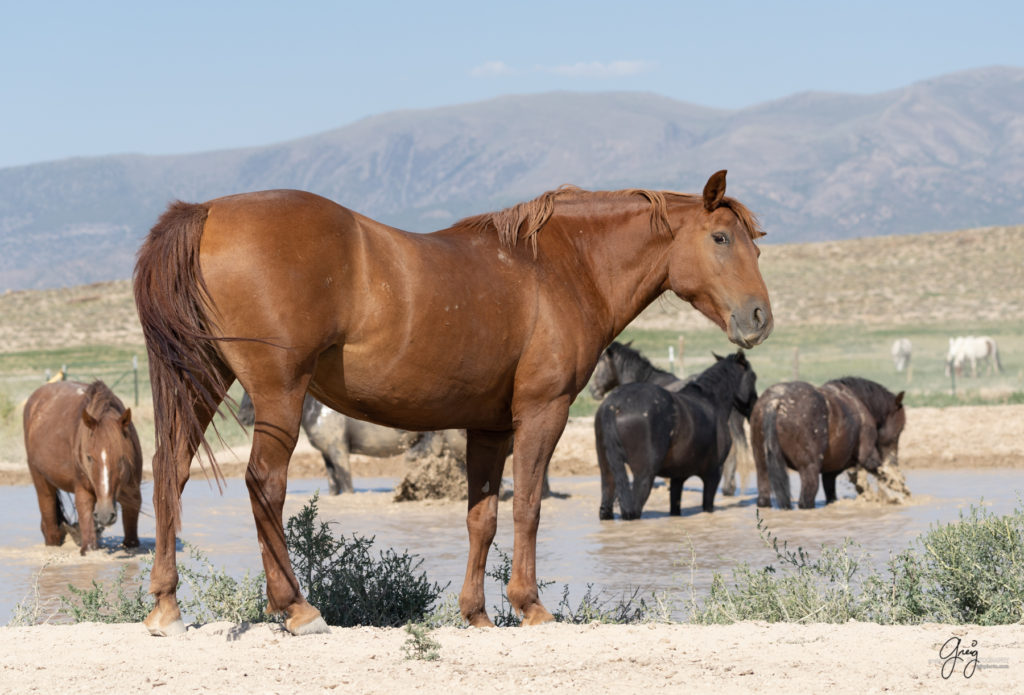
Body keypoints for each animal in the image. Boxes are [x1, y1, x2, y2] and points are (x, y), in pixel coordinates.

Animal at [23, 380, 142, 552]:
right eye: (89, 457)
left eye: (122, 458)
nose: (105, 515)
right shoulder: (83, 492)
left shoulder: (133, 493)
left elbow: (131, 537)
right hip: (40, 480)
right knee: (49, 520)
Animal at [235, 391, 464, 495]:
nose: (242, 417)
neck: (317, 409)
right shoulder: (327, 455)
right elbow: (333, 484)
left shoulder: (339, 451)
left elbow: (347, 484)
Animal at [593, 350, 761, 519]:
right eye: (753, 377)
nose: (754, 407)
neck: (711, 401)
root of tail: (613, 406)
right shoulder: (713, 474)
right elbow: (707, 506)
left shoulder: (678, 477)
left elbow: (675, 507)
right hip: (643, 477)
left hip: (608, 473)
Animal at [753, 374, 905, 511]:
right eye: (899, 430)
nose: (894, 462)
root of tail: (775, 401)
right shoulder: (867, 458)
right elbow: (881, 473)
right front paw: (900, 489)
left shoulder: (830, 472)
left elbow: (831, 495)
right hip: (810, 469)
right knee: (806, 501)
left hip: (762, 466)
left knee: (763, 497)